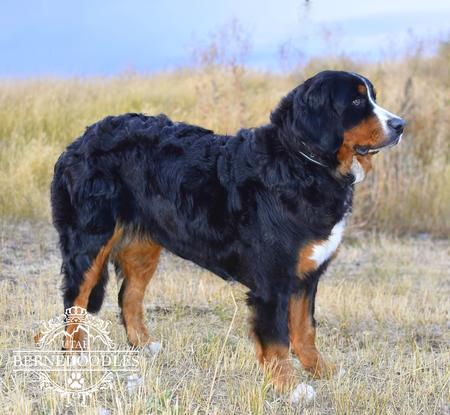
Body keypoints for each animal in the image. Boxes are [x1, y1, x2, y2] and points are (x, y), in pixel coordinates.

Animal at [51, 70, 406, 396]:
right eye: (357, 101)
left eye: (372, 96)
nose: (400, 124)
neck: (301, 164)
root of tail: (79, 141)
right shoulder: (273, 280)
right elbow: (277, 339)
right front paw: (290, 387)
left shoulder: (307, 275)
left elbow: (305, 330)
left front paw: (320, 370)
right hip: (90, 241)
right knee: (75, 301)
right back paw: (76, 358)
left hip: (142, 248)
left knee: (129, 296)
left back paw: (144, 346)